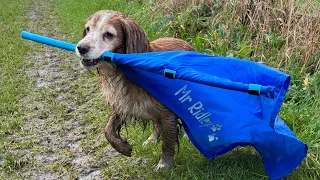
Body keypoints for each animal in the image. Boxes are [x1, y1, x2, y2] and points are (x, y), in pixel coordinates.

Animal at [76, 10, 194, 170]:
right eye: (88, 29)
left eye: (108, 34)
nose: (81, 47)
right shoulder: (124, 105)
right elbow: (108, 130)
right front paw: (123, 148)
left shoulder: (167, 111)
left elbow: (168, 141)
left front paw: (164, 164)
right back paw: (151, 139)